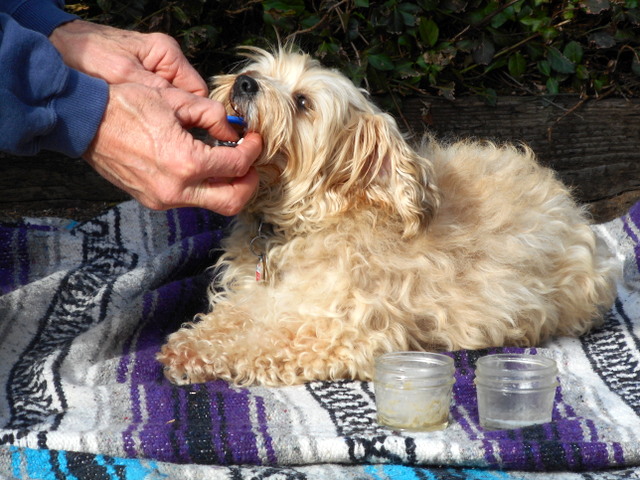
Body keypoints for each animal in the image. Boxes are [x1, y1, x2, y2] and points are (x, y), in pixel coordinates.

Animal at [155, 47, 616, 388]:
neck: (304, 224)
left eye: (303, 102)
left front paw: (200, 354)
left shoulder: (341, 331)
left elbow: (264, 342)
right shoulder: (258, 298)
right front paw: (192, 341)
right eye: (260, 71)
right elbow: (229, 318)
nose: (246, 82)